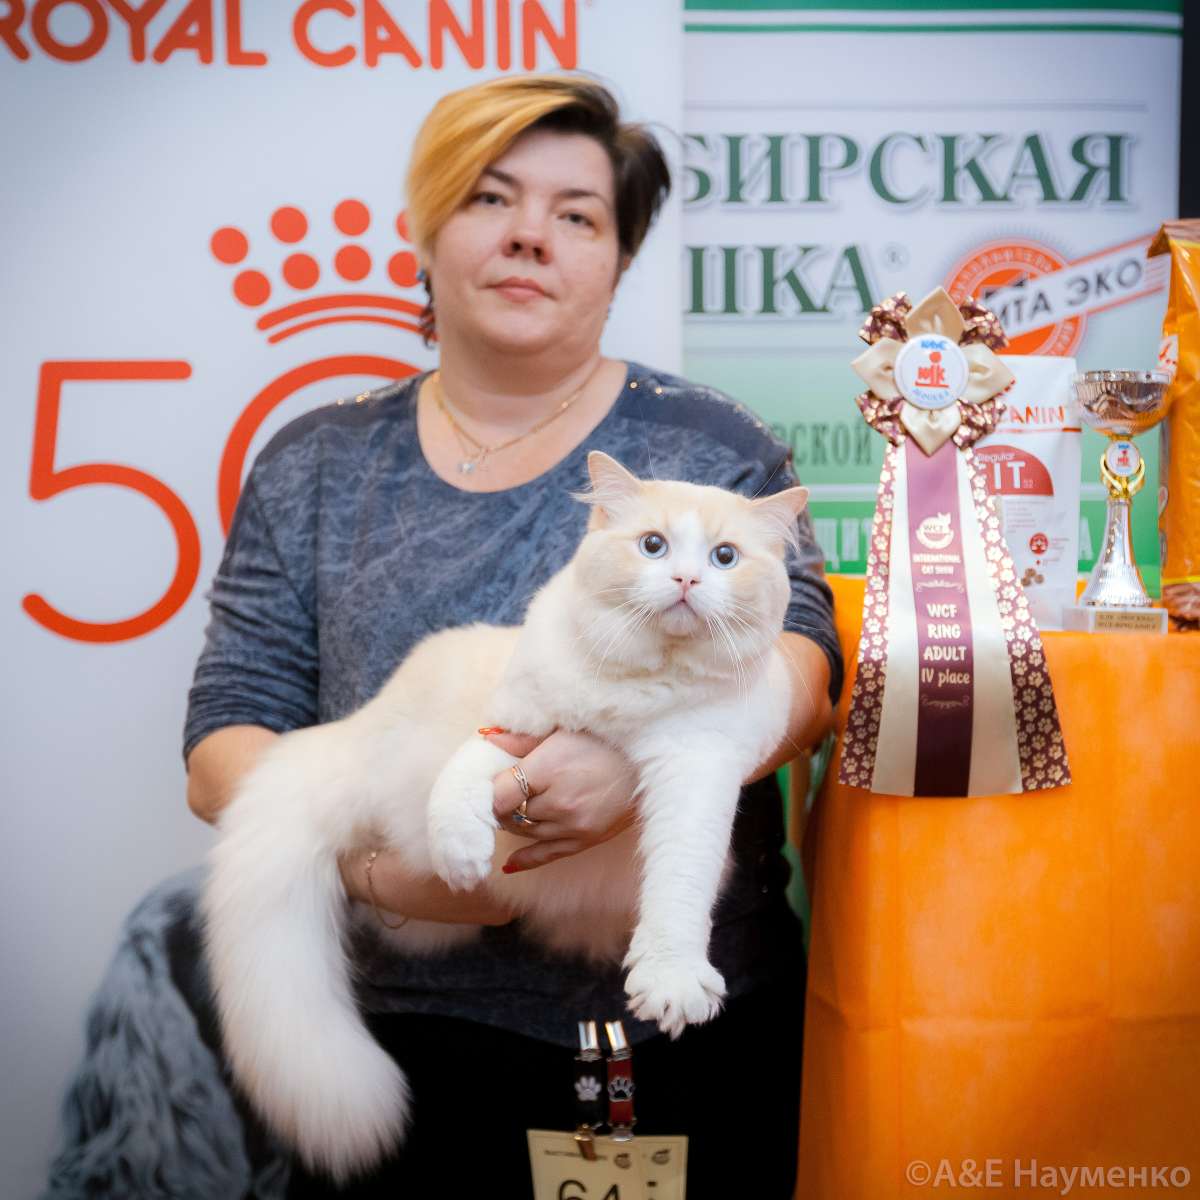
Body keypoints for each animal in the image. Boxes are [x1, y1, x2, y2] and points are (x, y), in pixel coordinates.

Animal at [201, 450, 808, 1182]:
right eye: (653, 546)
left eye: (724, 557)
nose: (687, 579)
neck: (639, 693)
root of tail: (358, 732)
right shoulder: (514, 725)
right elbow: (463, 779)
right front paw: (460, 851)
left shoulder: (697, 773)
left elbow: (678, 890)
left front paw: (670, 981)